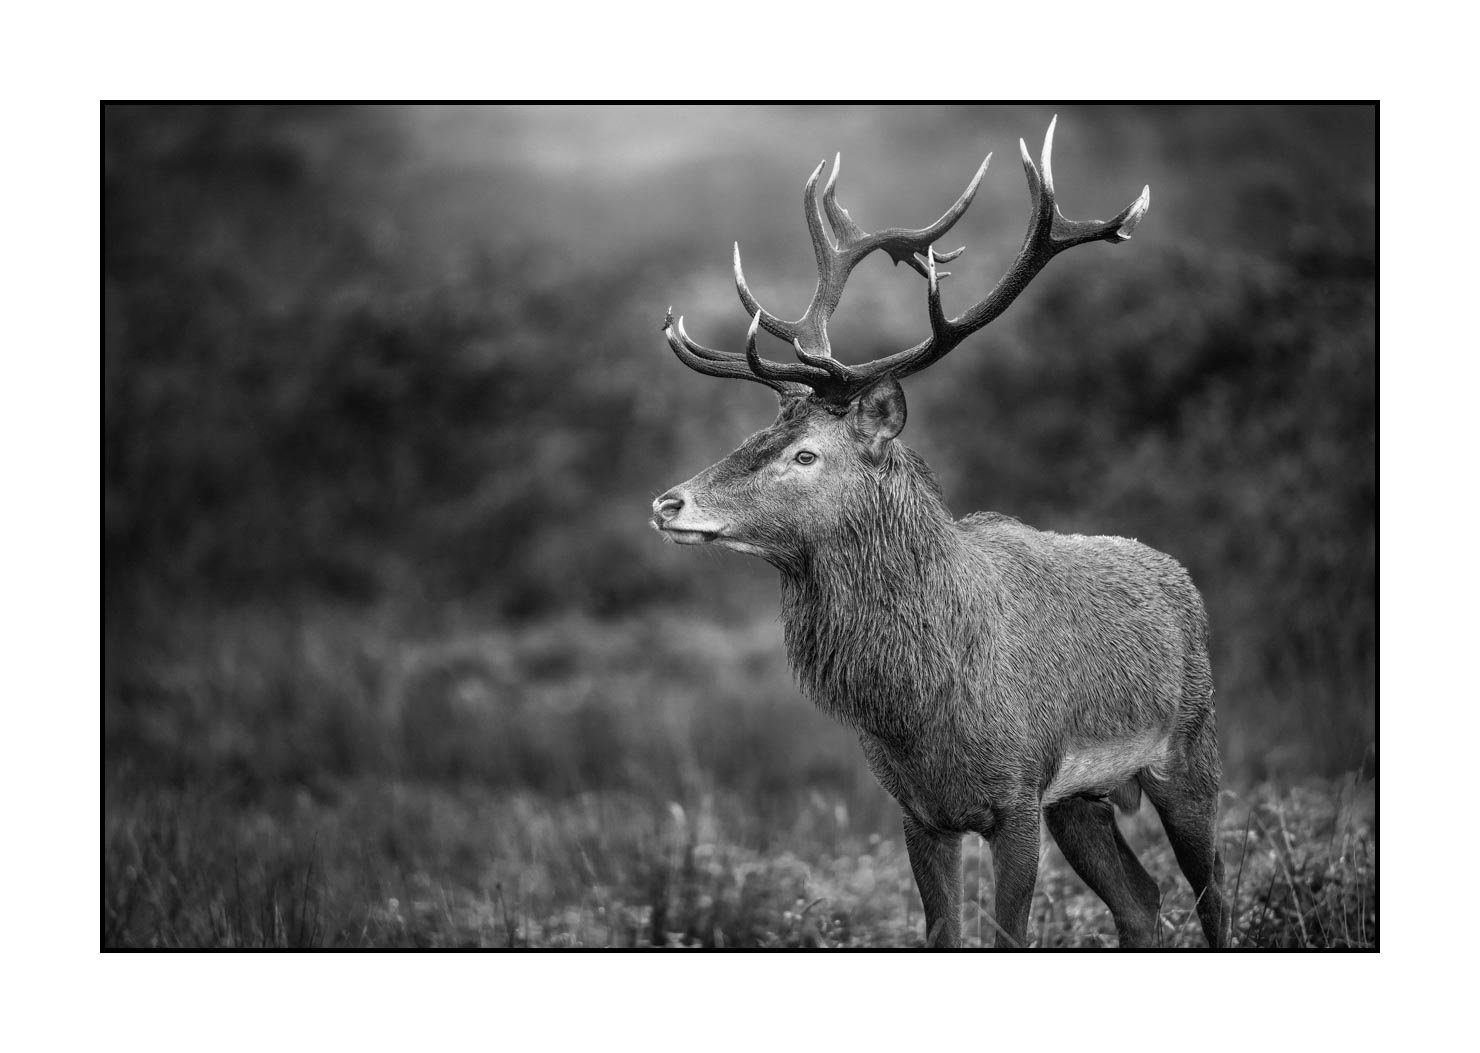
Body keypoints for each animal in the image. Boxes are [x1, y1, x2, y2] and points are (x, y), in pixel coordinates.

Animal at [649, 118, 1228, 949]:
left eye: (805, 453)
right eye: (759, 432)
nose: (669, 503)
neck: (919, 705)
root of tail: (1180, 578)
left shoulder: (1017, 796)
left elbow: (1009, 933)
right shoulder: (919, 811)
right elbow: (942, 930)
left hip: (1190, 746)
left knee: (1213, 893)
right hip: (1082, 798)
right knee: (1142, 902)